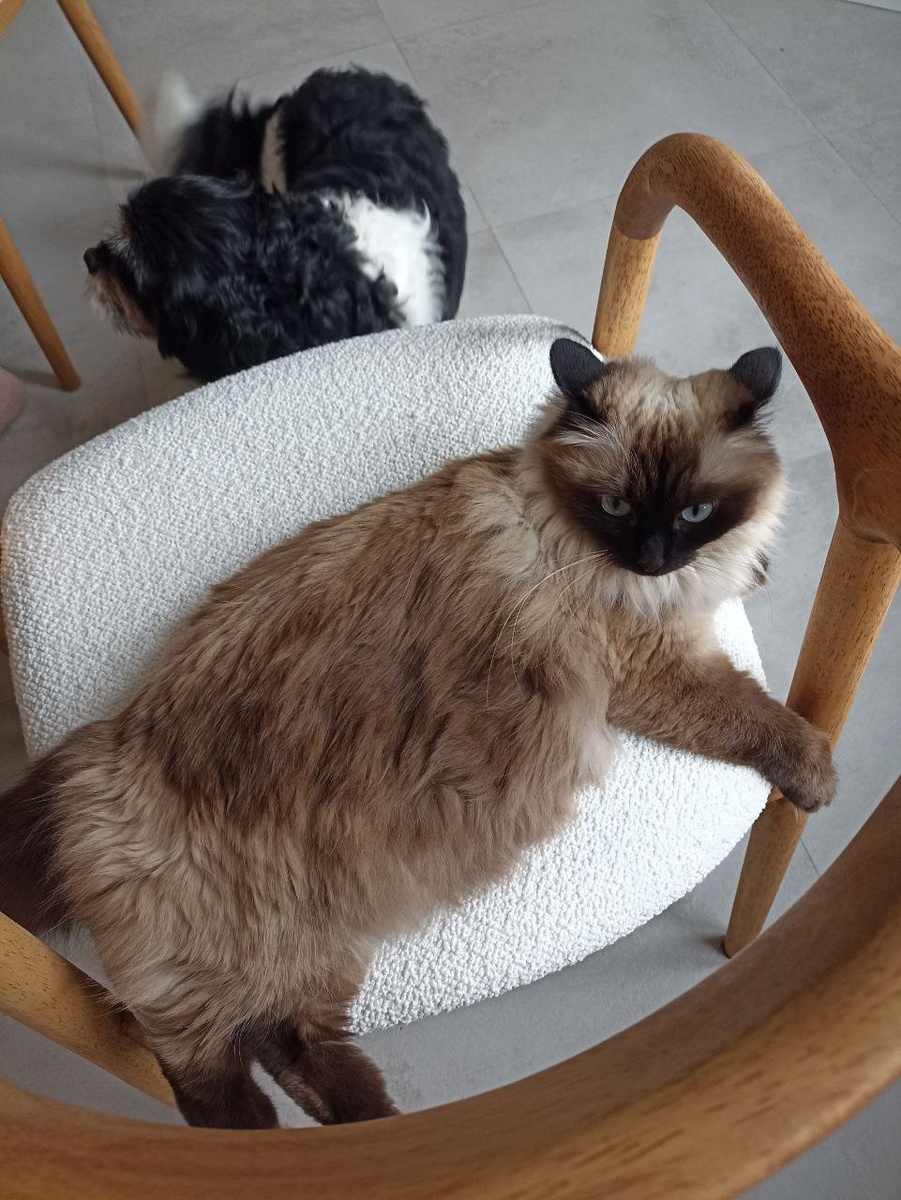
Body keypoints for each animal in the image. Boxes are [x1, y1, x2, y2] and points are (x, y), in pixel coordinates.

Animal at [0, 338, 836, 1129]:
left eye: (694, 513)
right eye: (616, 506)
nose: (654, 559)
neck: (551, 516)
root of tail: (105, 744)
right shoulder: (661, 671)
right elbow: (761, 719)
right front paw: (818, 776)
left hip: (318, 944)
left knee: (287, 1042)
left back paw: (364, 1130)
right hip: (231, 960)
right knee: (207, 1078)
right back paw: (295, 1146)